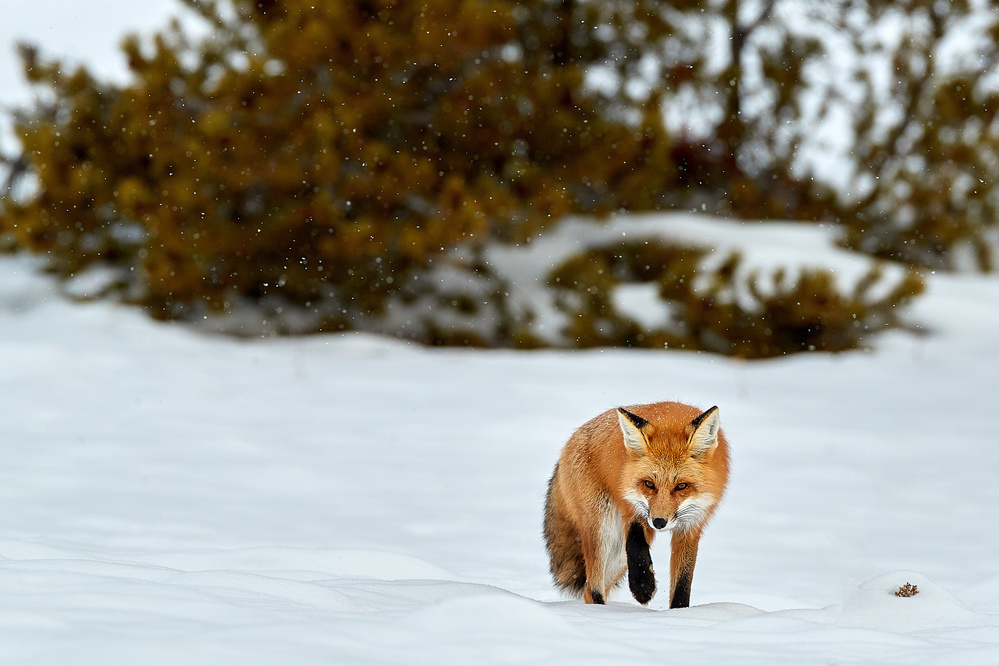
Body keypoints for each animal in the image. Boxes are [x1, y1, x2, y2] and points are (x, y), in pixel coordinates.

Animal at [544, 400, 732, 608]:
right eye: (649, 484)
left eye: (682, 486)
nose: (659, 523)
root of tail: (571, 439)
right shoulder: (633, 508)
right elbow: (635, 544)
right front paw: (643, 587)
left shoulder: (691, 525)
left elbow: (682, 584)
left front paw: (679, 613)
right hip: (603, 529)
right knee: (593, 587)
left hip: (618, 555)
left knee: (589, 589)